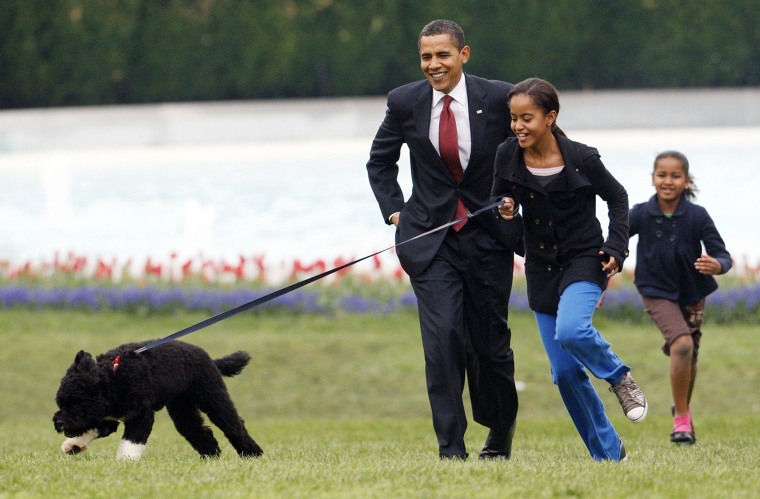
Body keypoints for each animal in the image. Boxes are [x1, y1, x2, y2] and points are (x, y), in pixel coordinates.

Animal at [52, 340, 262, 460]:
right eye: (61, 403)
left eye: (77, 402)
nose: (59, 422)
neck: (113, 380)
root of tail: (211, 360)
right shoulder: (107, 418)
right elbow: (92, 430)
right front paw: (73, 445)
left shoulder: (141, 415)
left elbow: (132, 441)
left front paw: (125, 461)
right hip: (181, 407)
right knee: (196, 430)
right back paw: (211, 455)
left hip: (212, 397)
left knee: (233, 424)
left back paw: (252, 454)